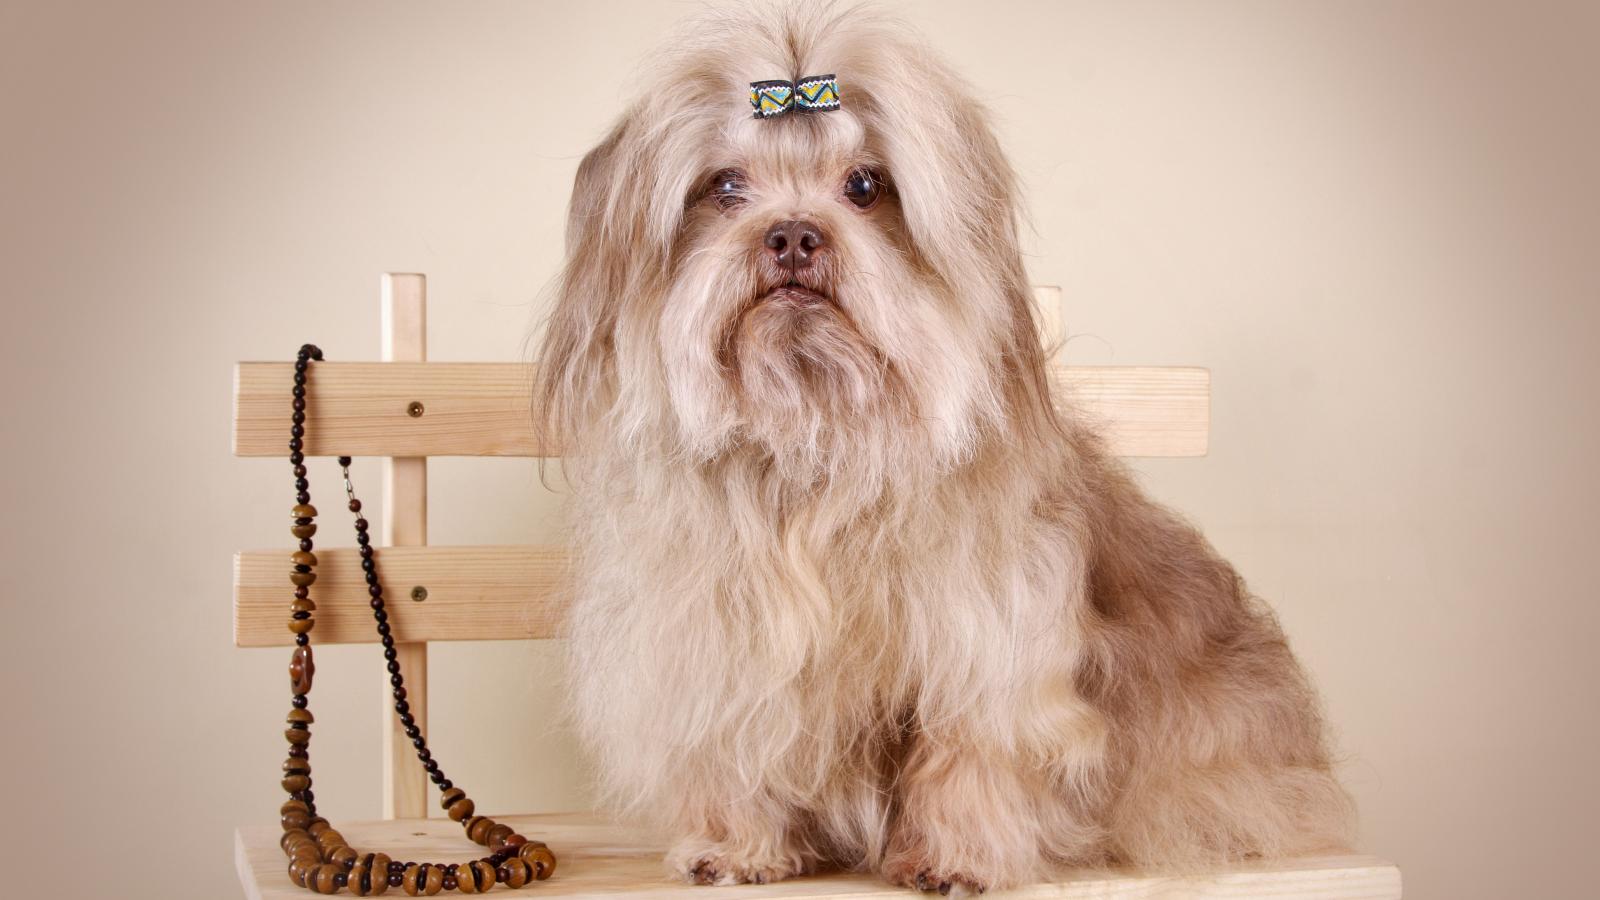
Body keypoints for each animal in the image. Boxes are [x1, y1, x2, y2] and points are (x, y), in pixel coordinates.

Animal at [534, 2, 1353, 892]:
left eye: (866, 186)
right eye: (724, 188)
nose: (792, 236)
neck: (816, 449)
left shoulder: (989, 652)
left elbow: (969, 756)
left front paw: (955, 857)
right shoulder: (724, 651)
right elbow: (739, 749)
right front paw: (736, 844)